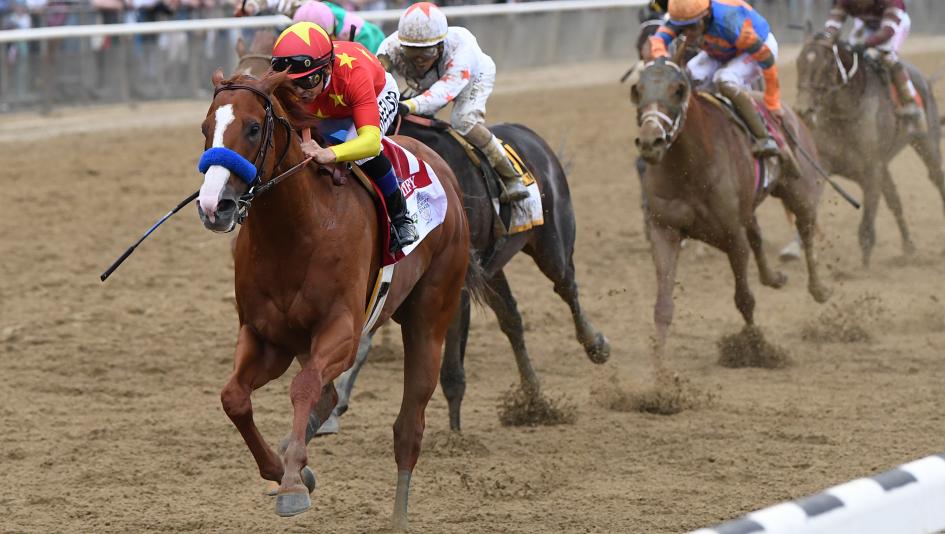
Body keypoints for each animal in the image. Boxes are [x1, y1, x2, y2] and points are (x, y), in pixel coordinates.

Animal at [197, 69, 470, 528]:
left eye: (252, 128)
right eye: (205, 128)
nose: (213, 206)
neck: (298, 229)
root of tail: (445, 171)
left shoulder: (341, 329)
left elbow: (304, 387)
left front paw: (292, 485)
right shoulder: (266, 337)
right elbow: (234, 398)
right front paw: (287, 470)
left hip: (430, 316)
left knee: (408, 426)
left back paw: (398, 518)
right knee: (326, 396)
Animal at [632, 56, 828, 358]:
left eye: (678, 90)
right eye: (638, 90)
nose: (650, 142)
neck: (691, 167)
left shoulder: (733, 235)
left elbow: (744, 298)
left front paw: (756, 347)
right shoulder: (664, 229)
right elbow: (663, 306)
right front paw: (660, 365)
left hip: (800, 192)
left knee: (805, 232)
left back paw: (818, 288)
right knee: (757, 234)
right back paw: (773, 277)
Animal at [796, 34, 944, 266]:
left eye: (826, 66)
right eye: (799, 63)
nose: (803, 110)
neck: (845, 114)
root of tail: (926, 81)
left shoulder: (872, 170)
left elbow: (866, 227)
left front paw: (863, 268)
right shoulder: (826, 164)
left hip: (926, 142)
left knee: (937, 178)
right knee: (895, 201)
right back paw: (909, 246)